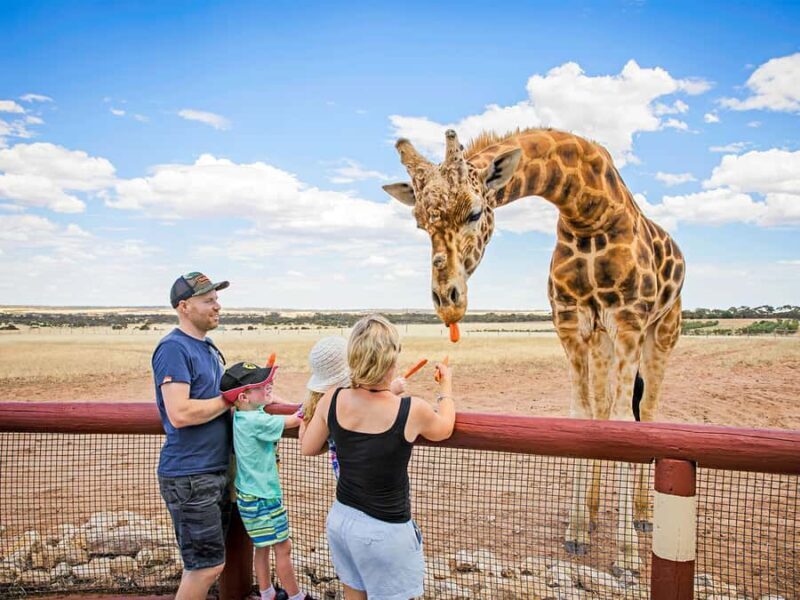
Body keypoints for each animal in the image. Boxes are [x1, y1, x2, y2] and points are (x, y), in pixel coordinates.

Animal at [383, 128, 685, 575]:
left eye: (475, 212)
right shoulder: (572, 324)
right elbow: (582, 417)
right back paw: (593, 511)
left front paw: (628, 558)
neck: (588, 213)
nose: (447, 301)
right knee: (602, 408)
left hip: (663, 330)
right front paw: (577, 532)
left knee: (645, 411)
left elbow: (625, 426)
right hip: (603, 340)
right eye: (421, 222)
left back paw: (644, 516)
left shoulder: (629, 321)